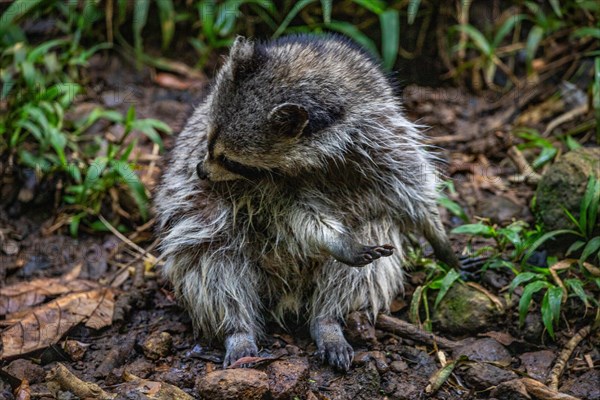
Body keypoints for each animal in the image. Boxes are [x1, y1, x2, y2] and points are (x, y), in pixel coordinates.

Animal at [156, 34, 460, 372]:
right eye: (209, 141)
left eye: (230, 160)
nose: (201, 171)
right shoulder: (260, 187)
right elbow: (284, 215)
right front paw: (333, 238)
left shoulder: (380, 134)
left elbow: (411, 188)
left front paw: (435, 232)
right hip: (207, 234)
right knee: (211, 262)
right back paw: (238, 329)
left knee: (368, 239)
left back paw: (327, 320)